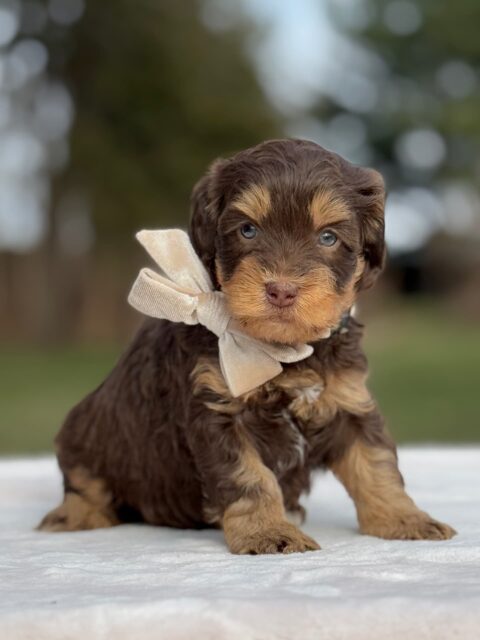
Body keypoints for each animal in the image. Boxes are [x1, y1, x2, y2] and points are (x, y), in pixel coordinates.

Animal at [39, 140, 456, 556]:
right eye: (248, 230)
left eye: (328, 238)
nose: (281, 290)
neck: (283, 350)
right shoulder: (217, 410)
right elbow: (249, 477)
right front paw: (268, 532)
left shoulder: (348, 401)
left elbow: (375, 463)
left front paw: (406, 519)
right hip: (87, 431)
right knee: (83, 480)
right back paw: (75, 515)